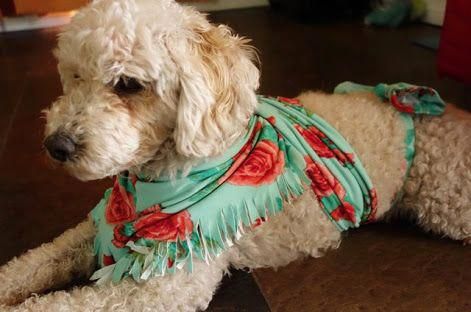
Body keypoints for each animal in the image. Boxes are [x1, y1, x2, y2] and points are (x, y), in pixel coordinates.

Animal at [0, 0, 471, 310]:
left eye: (128, 84)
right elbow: (37, 260)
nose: (55, 145)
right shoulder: (91, 232)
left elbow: (60, 304)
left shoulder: (165, 284)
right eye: (75, 77)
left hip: (448, 202)